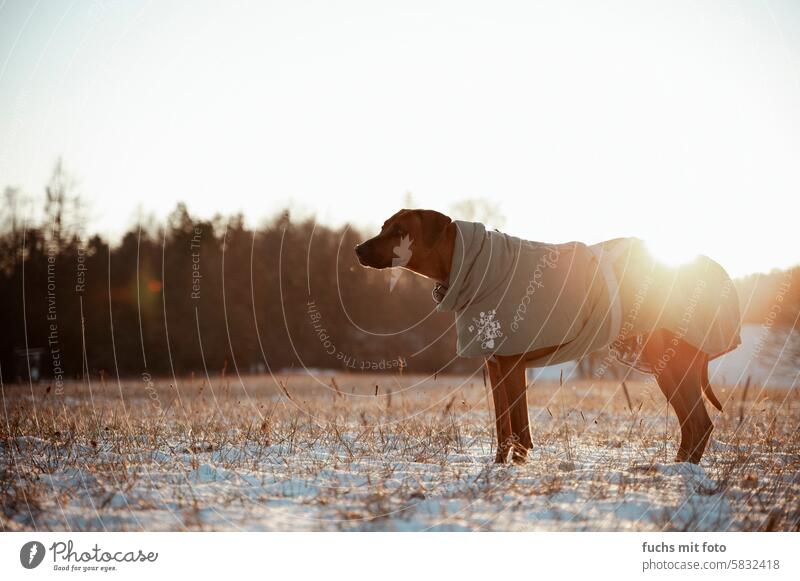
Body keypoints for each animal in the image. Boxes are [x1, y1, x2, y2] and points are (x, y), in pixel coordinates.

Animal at [356, 207, 720, 462]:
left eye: (399, 230)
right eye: (383, 226)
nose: (358, 248)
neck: (472, 266)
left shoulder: (513, 362)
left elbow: (519, 427)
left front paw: (516, 467)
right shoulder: (496, 363)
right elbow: (503, 425)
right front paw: (498, 468)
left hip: (672, 360)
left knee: (698, 423)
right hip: (665, 363)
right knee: (693, 424)